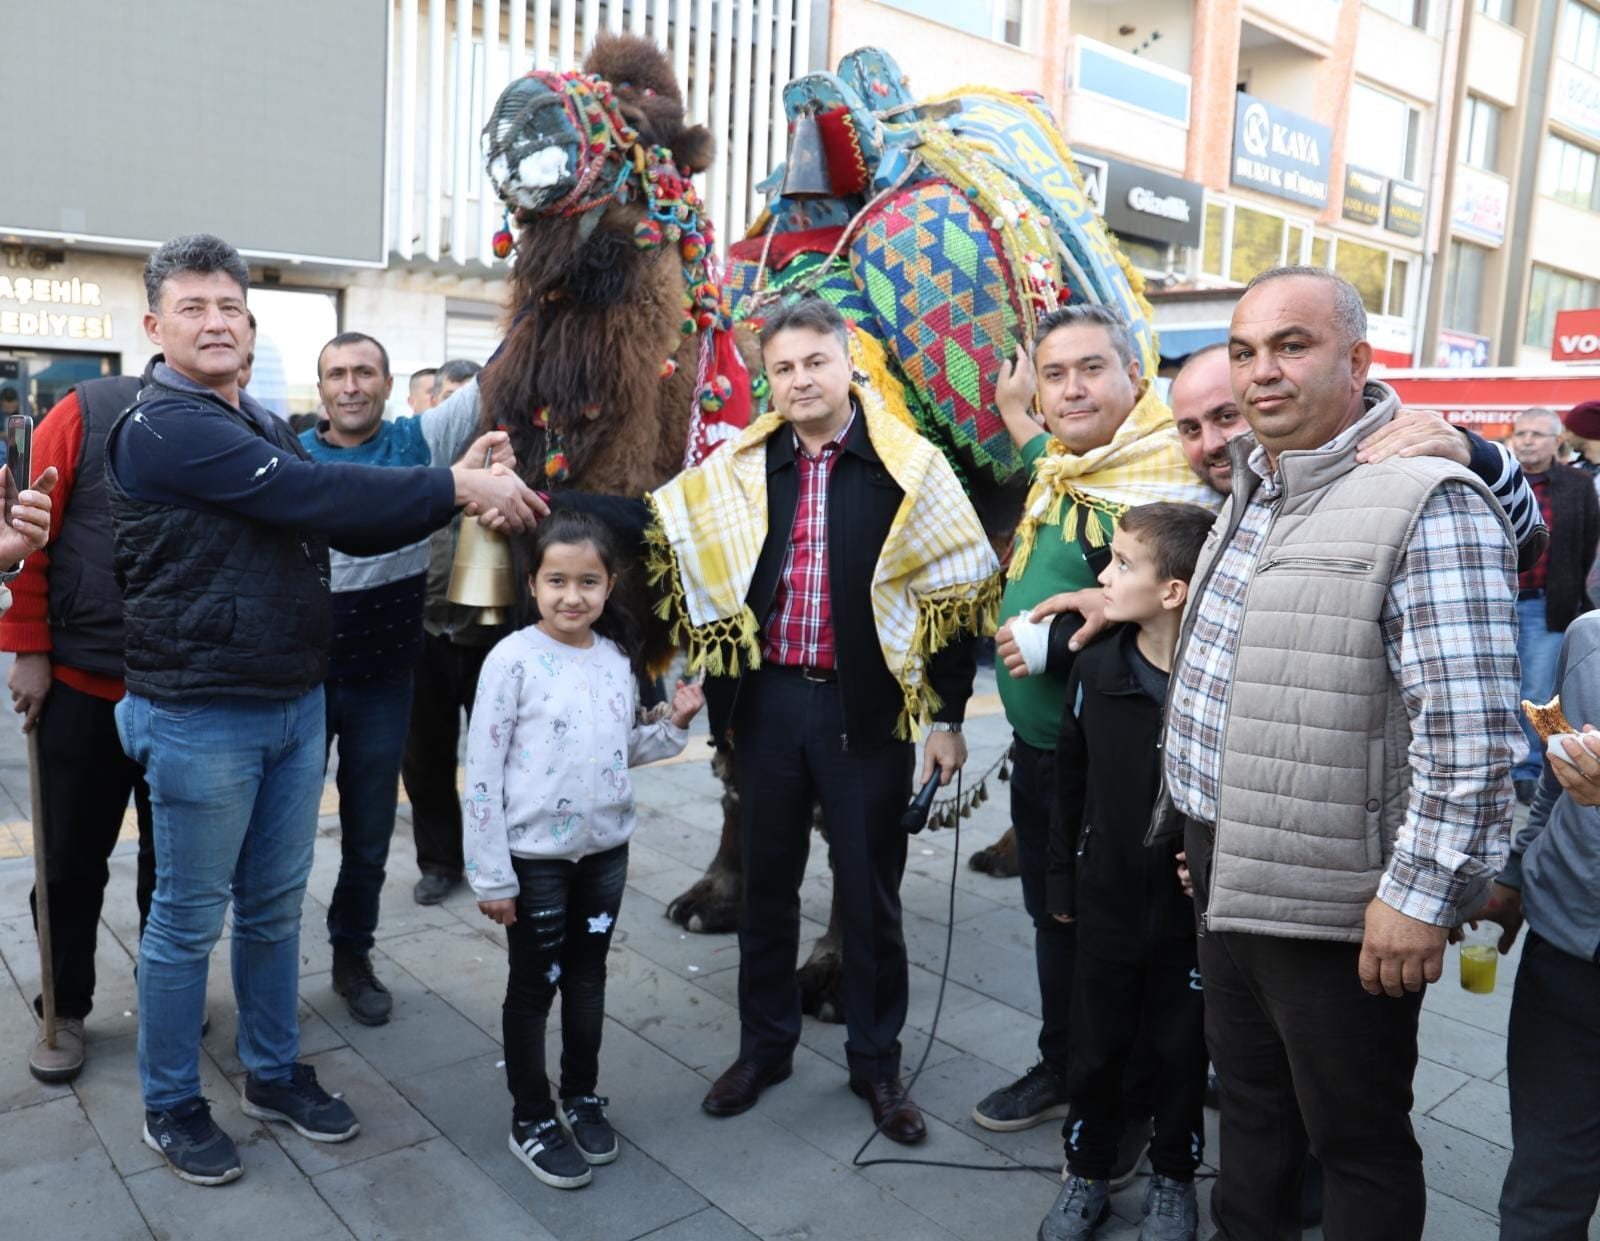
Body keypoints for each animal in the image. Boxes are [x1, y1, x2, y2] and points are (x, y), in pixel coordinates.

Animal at [470, 36, 1152, 1017]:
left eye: (640, 119)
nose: (524, 108)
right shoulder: (719, 597)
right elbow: (736, 762)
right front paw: (718, 895)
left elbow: (855, 802)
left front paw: (831, 972)